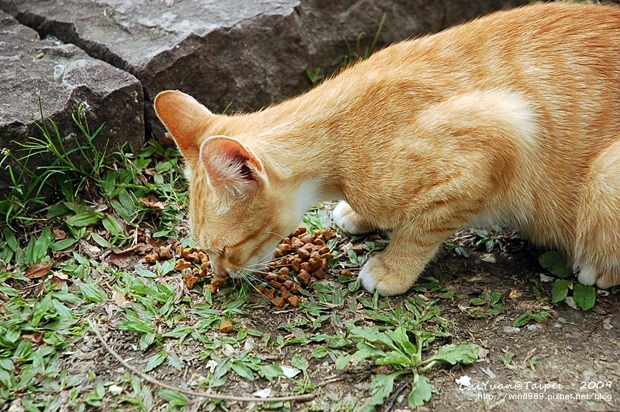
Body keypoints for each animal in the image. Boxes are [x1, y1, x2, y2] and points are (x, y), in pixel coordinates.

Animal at [154, 1, 620, 294]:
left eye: (224, 250)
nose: (221, 274)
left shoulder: (502, 132)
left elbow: (420, 227)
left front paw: (393, 269)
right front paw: (361, 217)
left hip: (605, 177)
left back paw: (598, 267)